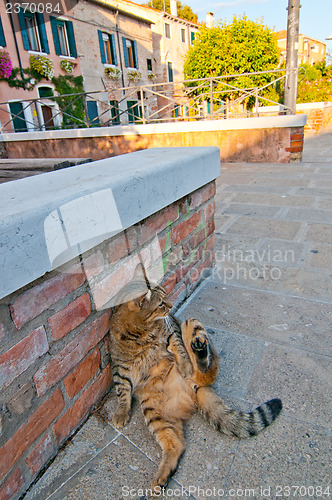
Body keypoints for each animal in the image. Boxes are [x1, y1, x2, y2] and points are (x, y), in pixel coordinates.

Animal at [109, 264, 282, 490]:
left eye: (166, 297)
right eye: (161, 303)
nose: (171, 305)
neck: (140, 332)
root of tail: (192, 390)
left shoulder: (172, 330)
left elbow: (179, 347)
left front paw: (183, 364)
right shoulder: (119, 367)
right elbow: (122, 391)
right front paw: (122, 412)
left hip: (191, 324)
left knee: (206, 368)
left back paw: (199, 353)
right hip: (155, 413)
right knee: (176, 444)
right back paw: (162, 477)